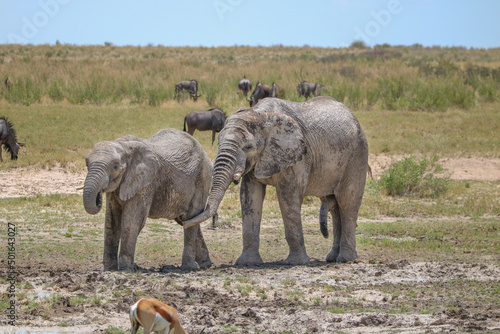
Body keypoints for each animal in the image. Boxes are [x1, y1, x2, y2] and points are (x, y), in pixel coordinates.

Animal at [82, 129, 215, 272]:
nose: (98, 195)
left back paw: (189, 267)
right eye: (87, 164)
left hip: (203, 178)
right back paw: (204, 264)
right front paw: (110, 269)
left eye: (115, 166)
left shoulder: (145, 183)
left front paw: (125, 269)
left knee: (191, 218)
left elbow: (132, 222)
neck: (123, 145)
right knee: (188, 219)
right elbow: (112, 221)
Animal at [184, 97, 368, 266]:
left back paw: (346, 259)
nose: (184, 221)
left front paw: (296, 262)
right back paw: (332, 258)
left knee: (347, 203)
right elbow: (250, 197)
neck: (262, 116)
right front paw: (248, 263)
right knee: (335, 207)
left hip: (357, 154)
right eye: (218, 142)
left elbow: (288, 197)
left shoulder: (296, 155)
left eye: (248, 147)